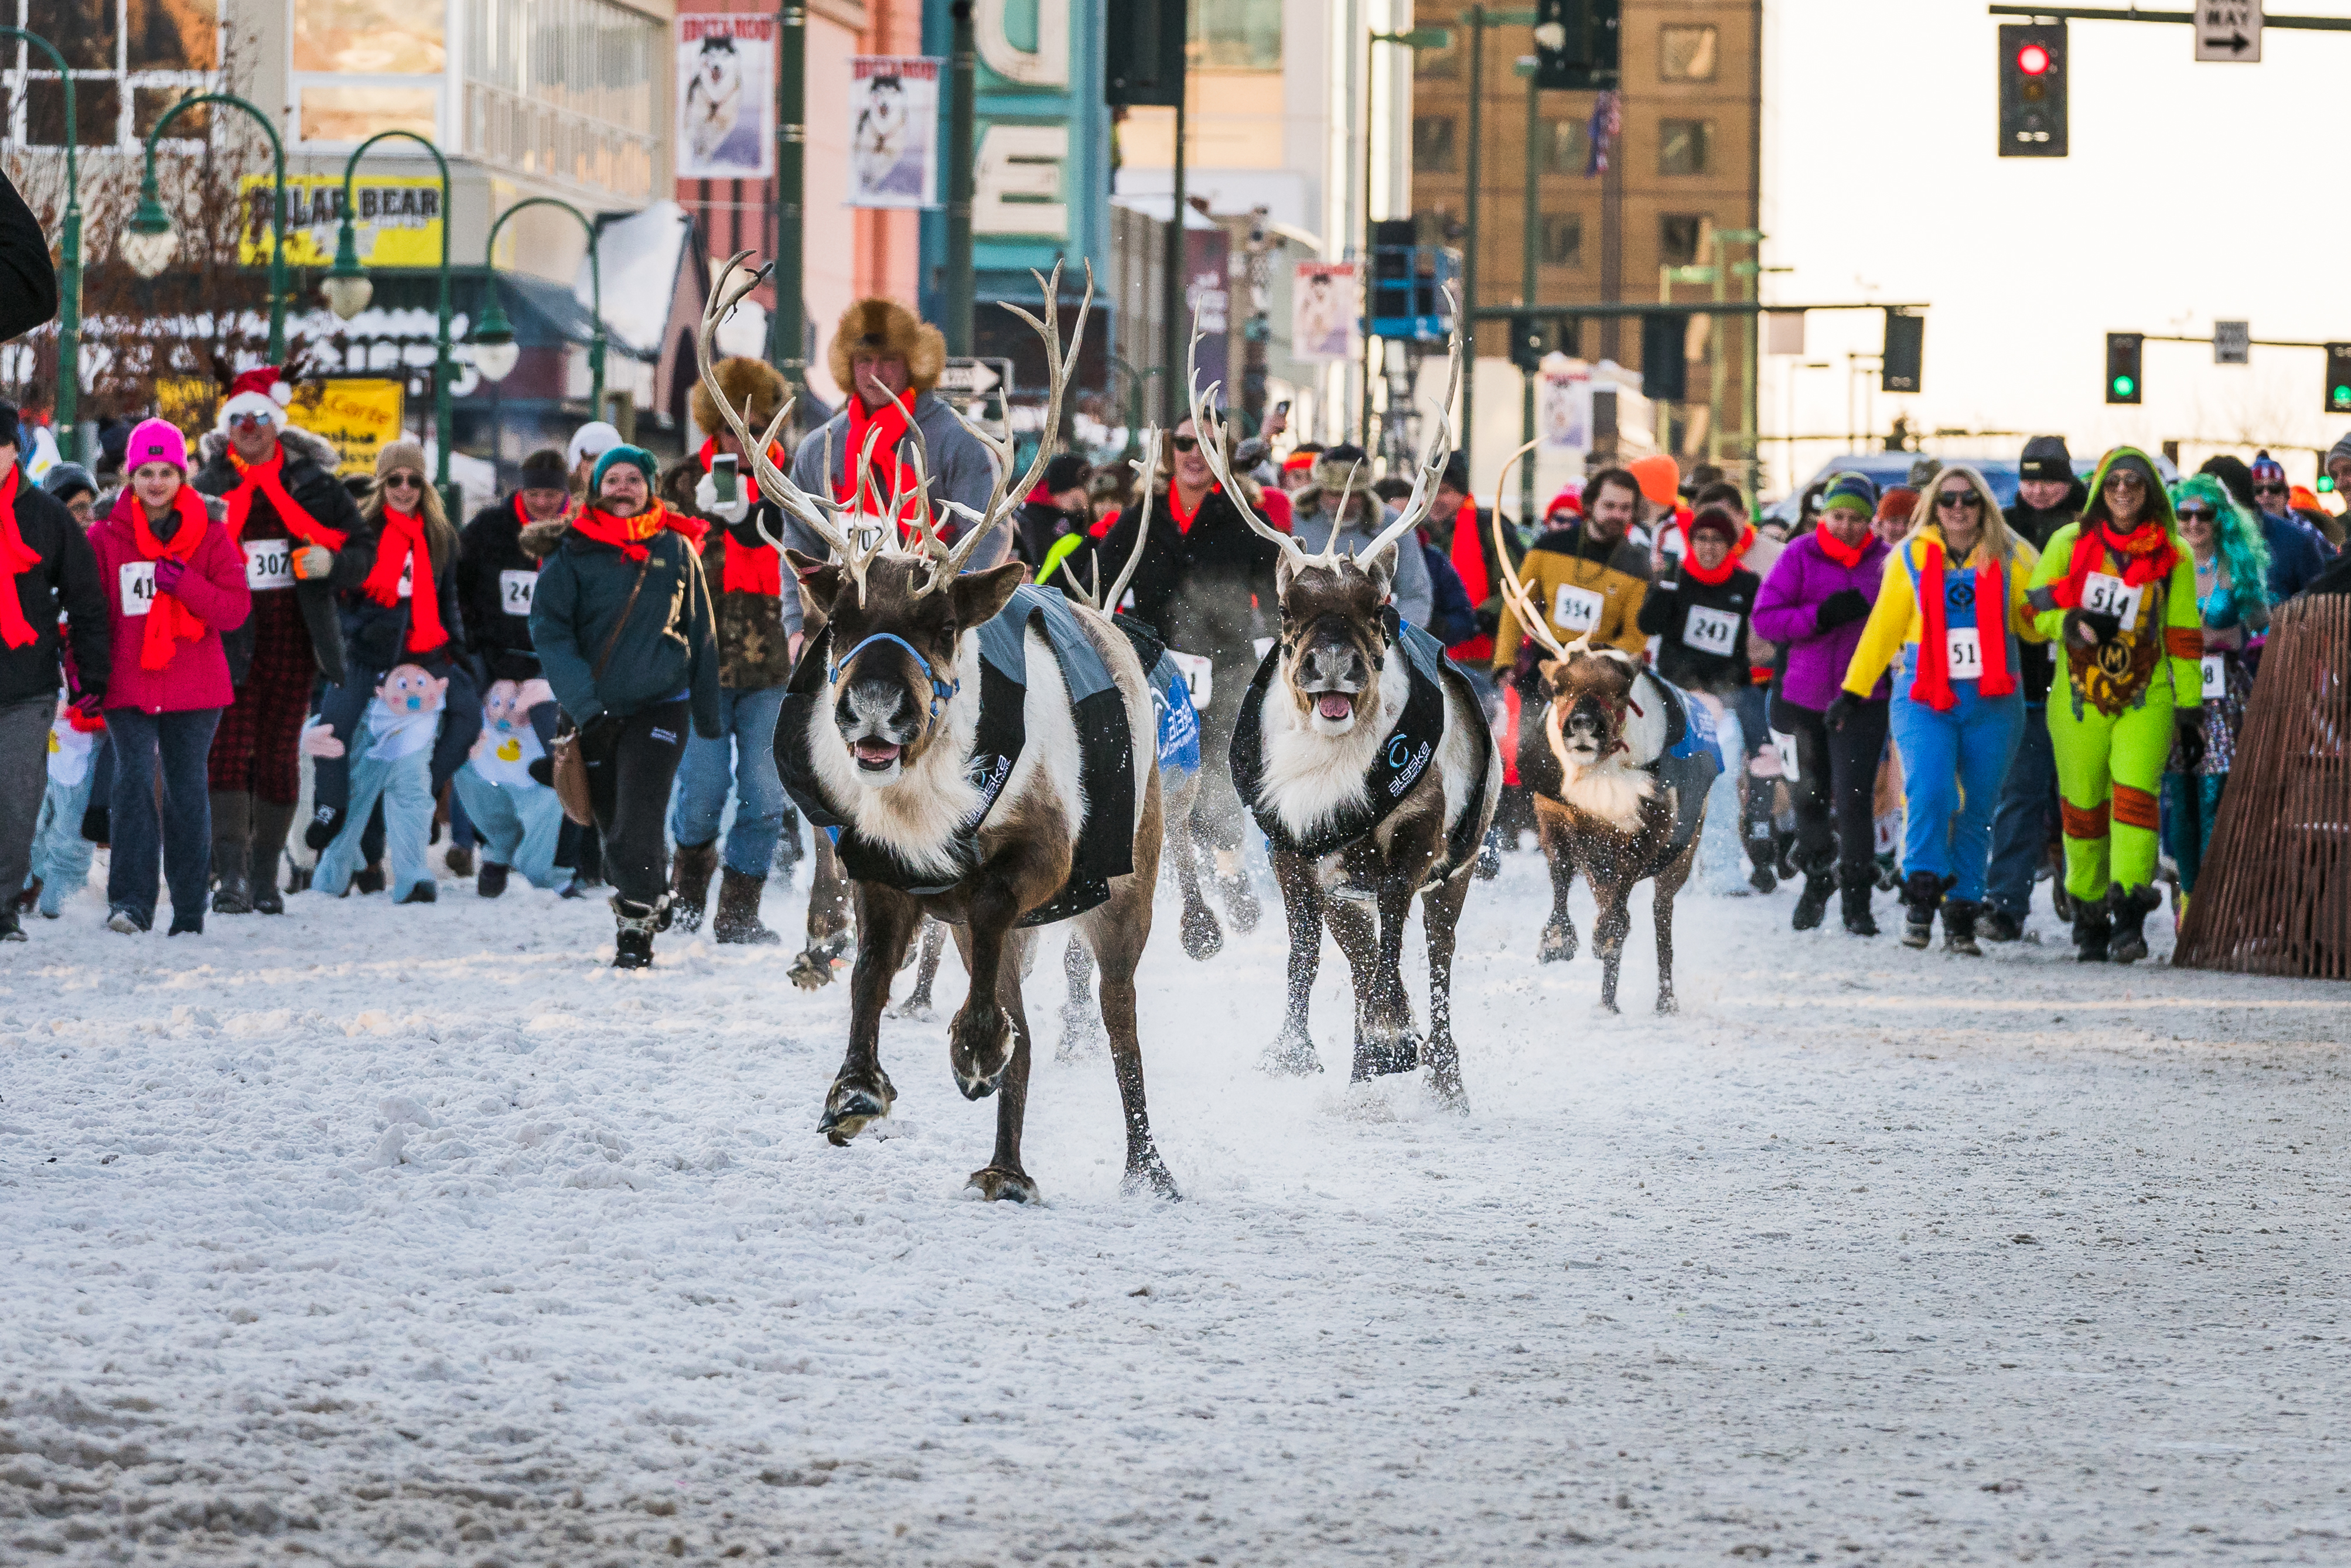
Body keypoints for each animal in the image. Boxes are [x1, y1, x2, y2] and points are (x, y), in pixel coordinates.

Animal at [698, 251, 1176, 1202]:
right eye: (839, 621)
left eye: (943, 624)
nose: (876, 708)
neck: (921, 805)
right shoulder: (878, 866)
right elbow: (868, 974)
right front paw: (855, 1089)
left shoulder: (1037, 858)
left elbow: (990, 923)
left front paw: (971, 1045)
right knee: (1023, 1020)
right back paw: (1005, 1168)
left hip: (1127, 887)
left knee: (1118, 1018)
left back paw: (1147, 1167)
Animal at [1196, 320, 1499, 1109]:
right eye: (1286, 612)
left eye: (1377, 609)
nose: (1330, 665)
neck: (1329, 777)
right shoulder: (1296, 848)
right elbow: (1311, 952)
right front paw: (1302, 1050)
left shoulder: (1416, 838)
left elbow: (1392, 938)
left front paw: (1391, 1041)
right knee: (1344, 953)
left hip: (1458, 867)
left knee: (1435, 960)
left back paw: (1443, 1075)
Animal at [1487, 439, 1721, 1014]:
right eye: (1559, 686)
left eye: (1619, 691)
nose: (1582, 727)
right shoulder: (1557, 815)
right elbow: (1560, 875)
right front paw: (1557, 941)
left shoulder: (1648, 833)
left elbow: (1620, 911)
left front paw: (1600, 937)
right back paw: (1607, 999)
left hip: (1685, 852)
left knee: (1659, 917)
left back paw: (1662, 997)